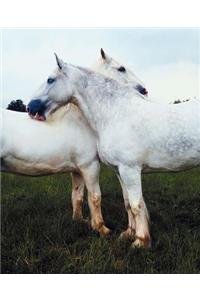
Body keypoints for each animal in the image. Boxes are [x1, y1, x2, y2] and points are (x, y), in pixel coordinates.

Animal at [0, 49, 146, 237]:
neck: (80, 121)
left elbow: (77, 196)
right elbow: (95, 197)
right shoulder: (90, 166)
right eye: (121, 68)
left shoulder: (77, 170)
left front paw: (80, 221)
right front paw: (102, 229)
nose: (144, 90)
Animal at [27, 54, 200, 248]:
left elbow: (136, 204)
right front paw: (128, 234)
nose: (30, 107)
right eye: (121, 68)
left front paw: (140, 241)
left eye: (50, 80)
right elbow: (127, 203)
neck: (116, 113)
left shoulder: (130, 170)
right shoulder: (120, 171)